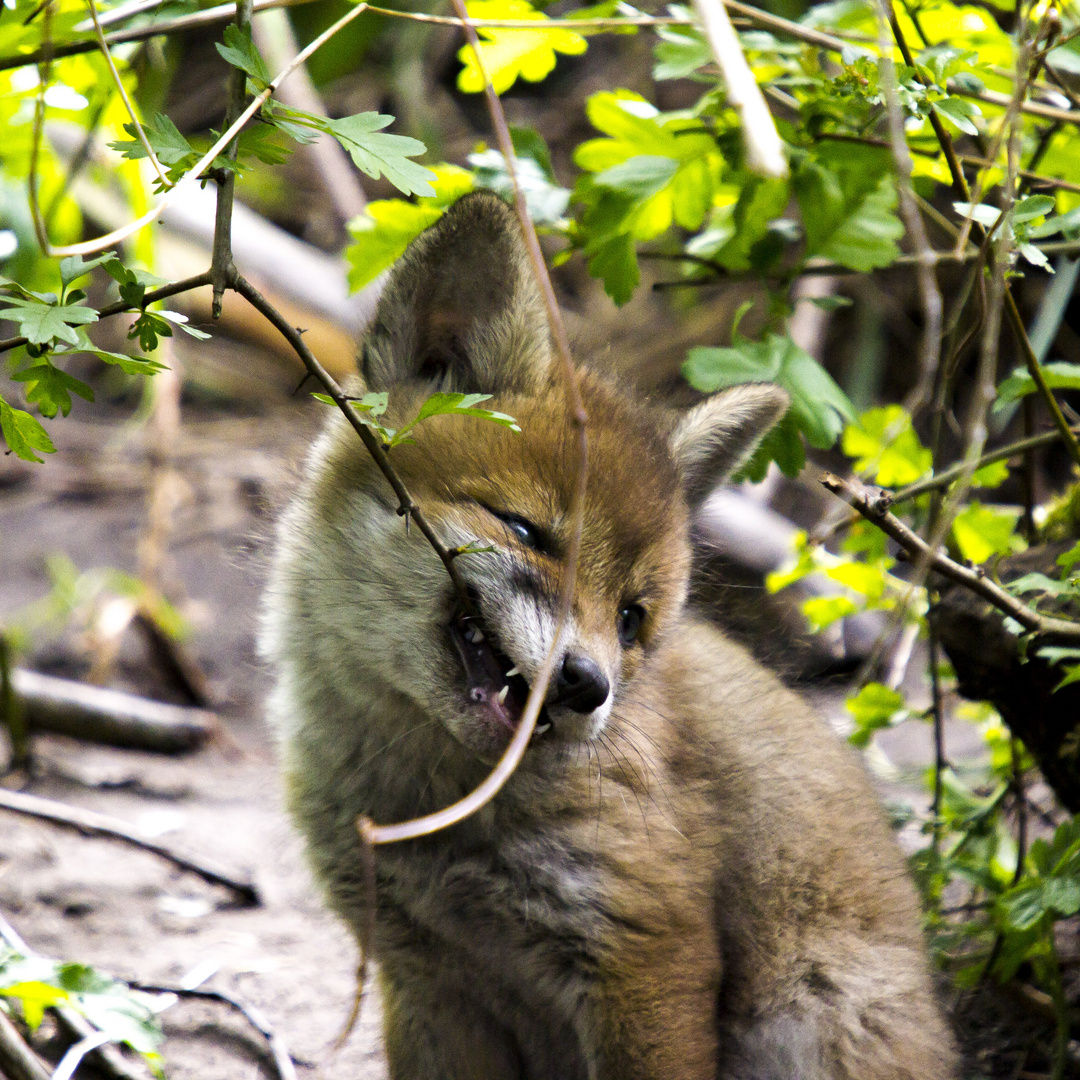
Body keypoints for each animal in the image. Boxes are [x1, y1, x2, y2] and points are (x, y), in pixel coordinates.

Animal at [263, 190, 963, 1075]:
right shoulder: (424, 981)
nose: (585, 686)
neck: (431, 807)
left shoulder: (645, 948)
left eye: (632, 617)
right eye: (526, 531)